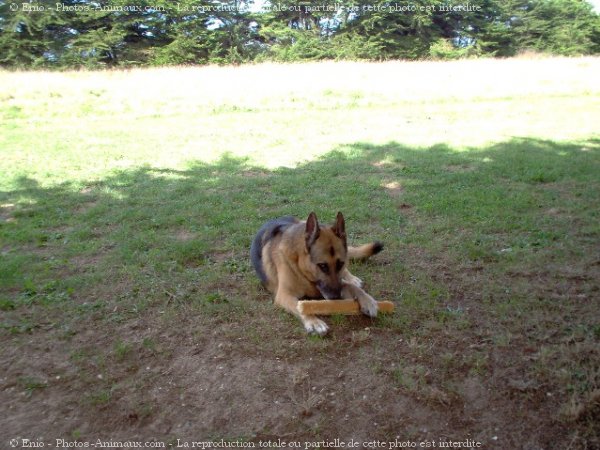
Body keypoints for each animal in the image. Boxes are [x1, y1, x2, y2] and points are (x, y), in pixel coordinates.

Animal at [250, 212, 382, 334]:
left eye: (340, 264)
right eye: (322, 266)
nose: (336, 298)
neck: (300, 268)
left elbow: (351, 286)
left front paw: (368, 300)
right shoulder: (284, 295)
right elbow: (299, 307)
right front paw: (314, 322)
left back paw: (352, 278)